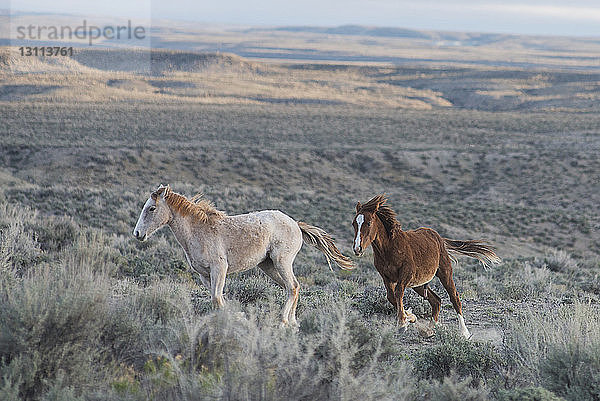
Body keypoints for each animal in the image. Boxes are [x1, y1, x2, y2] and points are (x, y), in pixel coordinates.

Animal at [134, 184, 354, 324]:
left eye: (151, 208)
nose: (137, 234)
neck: (199, 230)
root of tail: (296, 224)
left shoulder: (219, 269)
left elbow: (217, 298)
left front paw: (236, 318)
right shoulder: (204, 275)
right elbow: (216, 300)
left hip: (281, 262)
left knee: (292, 287)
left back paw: (284, 321)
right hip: (268, 266)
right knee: (292, 288)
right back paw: (293, 323)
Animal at [354, 193, 500, 334]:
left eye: (369, 223)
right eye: (354, 223)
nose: (357, 248)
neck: (390, 247)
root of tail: (439, 238)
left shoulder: (406, 275)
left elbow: (398, 293)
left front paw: (402, 324)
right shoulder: (386, 277)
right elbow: (391, 296)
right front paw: (410, 317)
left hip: (445, 273)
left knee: (454, 298)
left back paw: (464, 332)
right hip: (419, 283)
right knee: (436, 301)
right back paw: (429, 329)